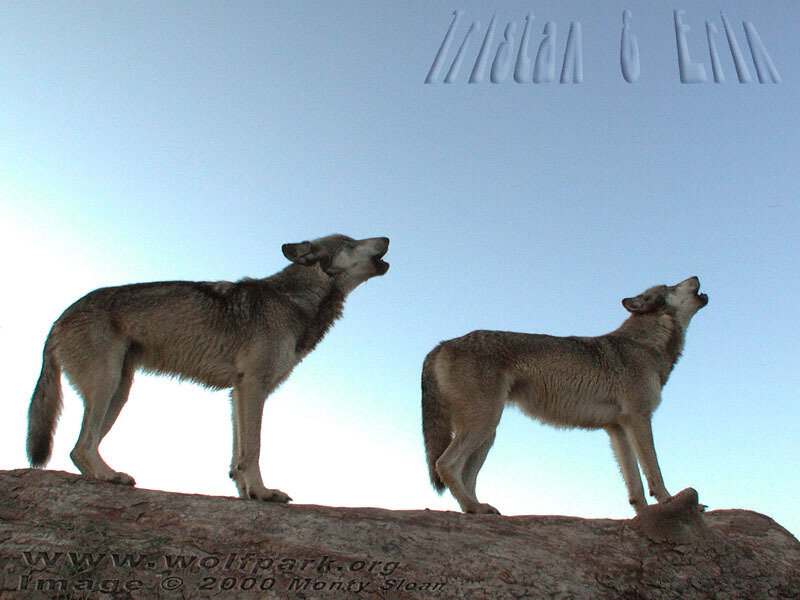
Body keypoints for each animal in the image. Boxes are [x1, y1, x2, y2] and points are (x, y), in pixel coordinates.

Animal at [27, 234, 389, 502]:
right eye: (351, 241)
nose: (387, 237)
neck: (294, 300)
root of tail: (57, 320)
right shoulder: (253, 386)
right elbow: (254, 448)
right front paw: (263, 493)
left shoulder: (238, 392)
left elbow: (237, 455)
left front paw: (246, 493)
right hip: (107, 385)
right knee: (81, 447)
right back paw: (110, 476)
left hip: (119, 391)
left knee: (79, 450)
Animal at [422, 276, 708, 515]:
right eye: (671, 286)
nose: (695, 275)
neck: (645, 345)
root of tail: (440, 345)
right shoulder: (639, 418)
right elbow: (654, 471)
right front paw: (670, 503)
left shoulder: (618, 429)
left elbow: (635, 485)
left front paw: (644, 517)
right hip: (483, 424)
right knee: (445, 464)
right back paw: (473, 507)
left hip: (487, 433)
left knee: (466, 476)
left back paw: (477, 508)